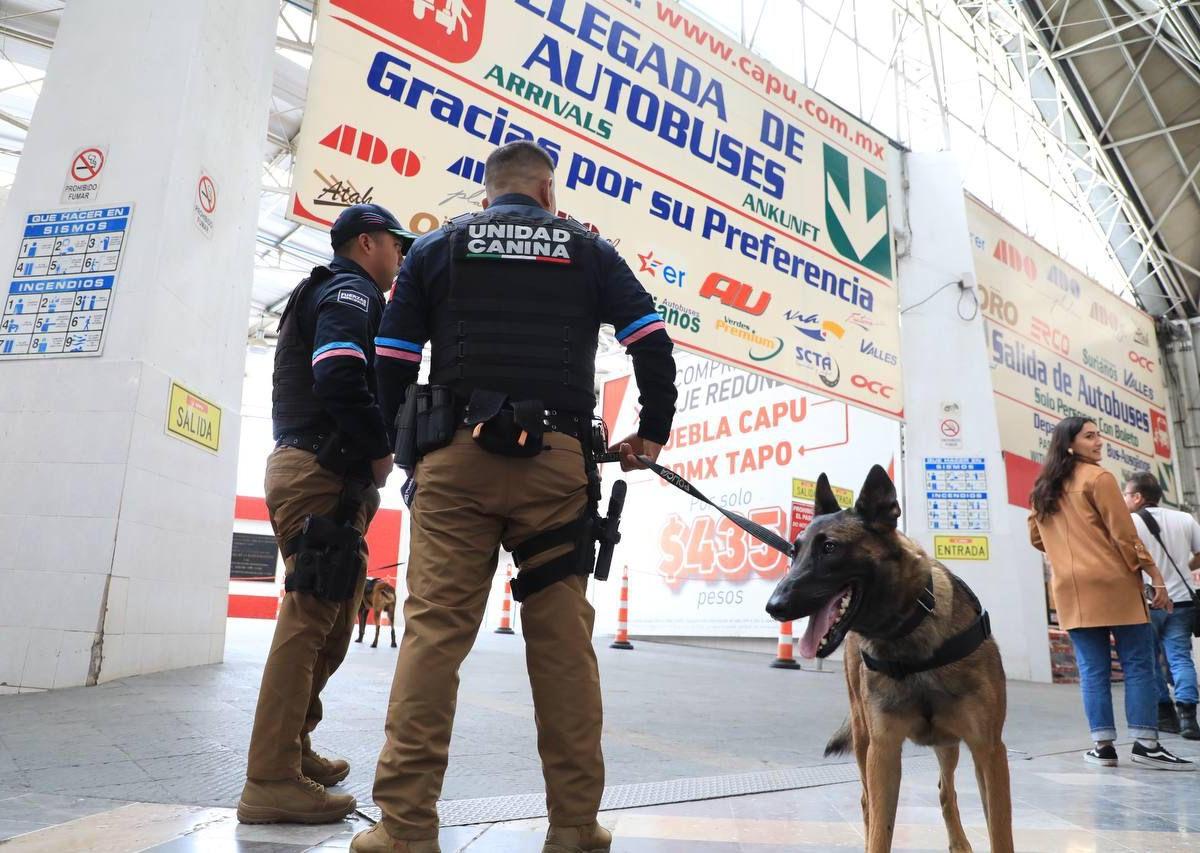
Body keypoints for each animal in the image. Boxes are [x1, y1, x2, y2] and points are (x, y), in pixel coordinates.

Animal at [350, 141, 681, 853]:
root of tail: (509, 414)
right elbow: (649, 337)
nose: (638, 453)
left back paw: (401, 829)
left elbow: (647, 335)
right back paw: (570, 830)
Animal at [768, 467, 1012, 853]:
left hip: (949, 744)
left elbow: (1000, 834)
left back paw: (959, 843)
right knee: (868, 801)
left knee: (945, 791)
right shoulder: (883, 752)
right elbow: (880, 831)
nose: (774, 606)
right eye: (795, 551)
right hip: (864, 739)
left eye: (829, 548)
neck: (907, 636)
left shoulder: (989, 751)